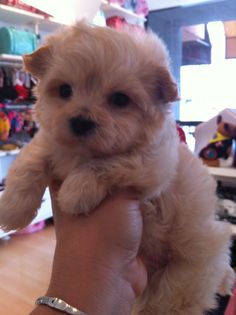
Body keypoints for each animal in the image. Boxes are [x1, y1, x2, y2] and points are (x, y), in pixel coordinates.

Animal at [0, 22, 234, 315]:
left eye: (120, 100)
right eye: (64, 91)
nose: (80, 122)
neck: (81, 152)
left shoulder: (155, 162)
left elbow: (109, 163)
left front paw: (75, 193)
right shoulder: (52, 140)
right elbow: (31, 160)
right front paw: (12, 210)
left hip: (182, 277)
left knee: (167, 300)